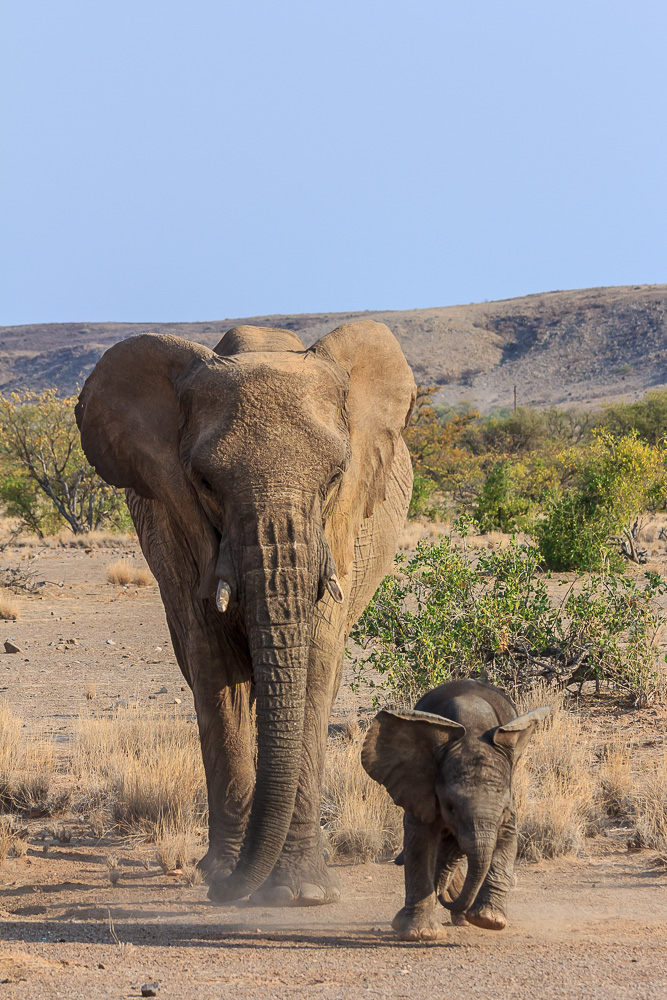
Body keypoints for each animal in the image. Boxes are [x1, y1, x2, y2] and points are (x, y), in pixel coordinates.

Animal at [75, 320, 414, 908]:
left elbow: (314, 672)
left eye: (335, 478)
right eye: (205, 483)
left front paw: (302, 893)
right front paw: (222, 874)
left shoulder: (340, 533)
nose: (222, 892)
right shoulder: (177, 527)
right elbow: (215, 673)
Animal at [362, 676, 552, 940]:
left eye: (503, 808)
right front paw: (421, 933)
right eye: (450, 806)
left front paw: (489, 921)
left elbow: (506, 836)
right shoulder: (421, 781)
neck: (473, 728)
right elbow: (419, 840)